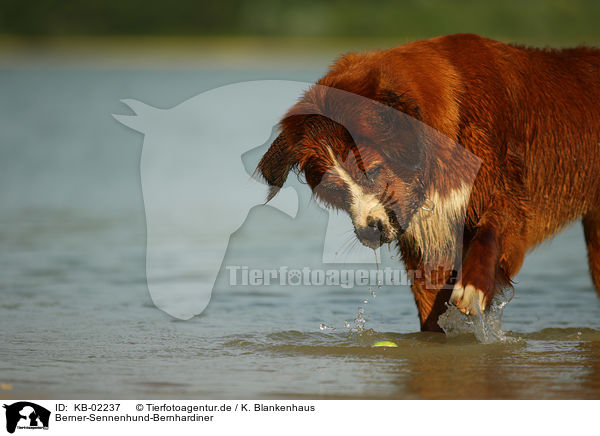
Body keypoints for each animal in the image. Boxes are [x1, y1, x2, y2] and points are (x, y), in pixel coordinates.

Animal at [255, 34, 600, 332]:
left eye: (372, 171)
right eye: (334, 189)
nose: (370, 231)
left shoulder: (506, 193)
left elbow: (493, 229)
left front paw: (473, 287)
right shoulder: (429, 242)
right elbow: (431, 308)